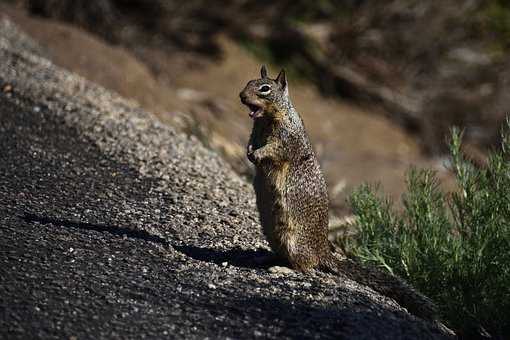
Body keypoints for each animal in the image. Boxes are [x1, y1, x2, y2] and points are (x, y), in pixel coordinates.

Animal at [241, 66, 440, 322]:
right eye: (249, 82)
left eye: (265, 88)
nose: (241, 96)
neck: (267, 119)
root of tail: (323, 251)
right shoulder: (255, 132)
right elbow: (251, 142)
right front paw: (248, 151)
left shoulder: (285, 140)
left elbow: (273, 150)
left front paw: (257, 154)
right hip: (273, 236)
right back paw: (264, 258)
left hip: (293, 241)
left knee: (306, 267)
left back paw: (281, 268)